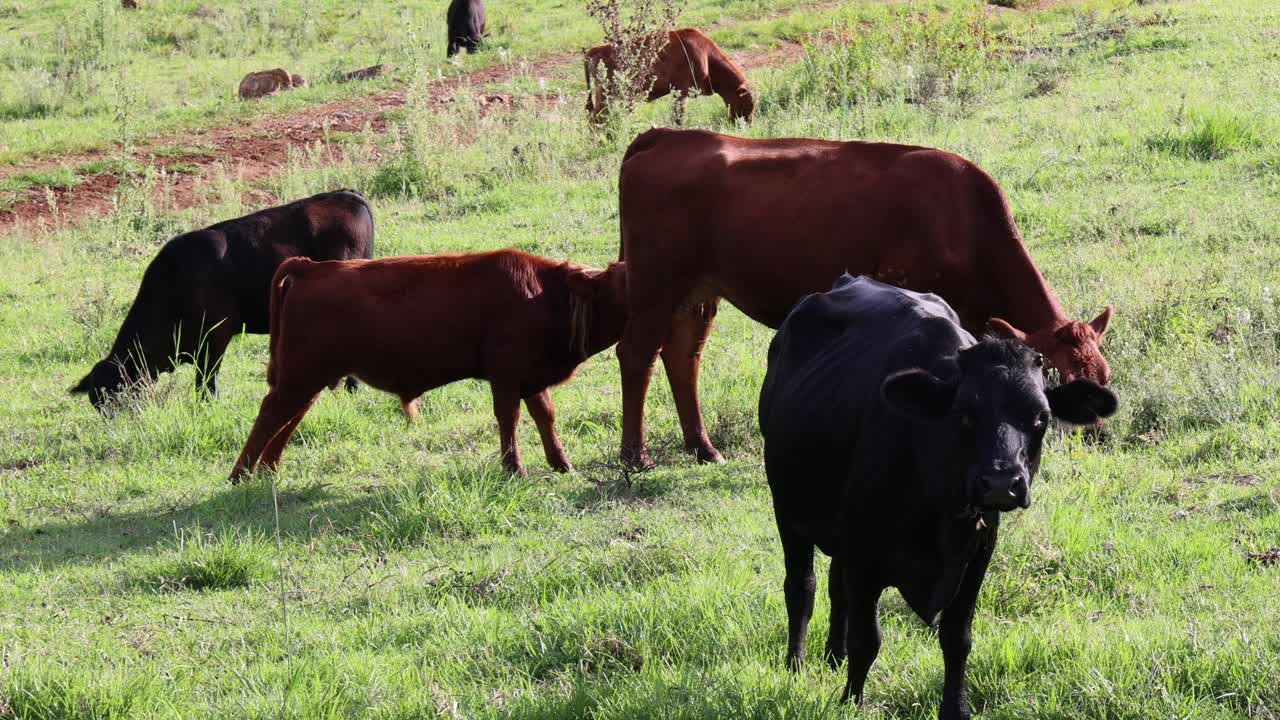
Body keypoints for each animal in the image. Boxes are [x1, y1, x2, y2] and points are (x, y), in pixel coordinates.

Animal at [70, 189, 373, 409]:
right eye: (98, 404)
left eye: (114, 397)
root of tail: (346, 195)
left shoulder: (216, 334)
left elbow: (207, 378)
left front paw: (208, 405)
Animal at [232, 249, 632, 479]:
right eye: (626, 280)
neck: (544, 294)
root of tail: (313, 267)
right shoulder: (506, 376)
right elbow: (510, 418)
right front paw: (514, 468)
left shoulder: (531, 377)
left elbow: (545, 417)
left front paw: (562, 463)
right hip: (300, 375)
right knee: (271, 413)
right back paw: (240, 474)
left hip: (308, 378)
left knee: (288, 417)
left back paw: (267, 470)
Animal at [586, 28, 752, 122]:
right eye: (747, 103)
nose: (746, 124)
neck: (707, 56)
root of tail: (596, 49)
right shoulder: (681, 91)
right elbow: (679, 116)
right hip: (606, 96)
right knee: (597, 118)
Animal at [616, 127, 1111, 466]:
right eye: (1062, 376)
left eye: (1103, 376)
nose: (1099, 434)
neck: (964, 219)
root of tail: (667, 136)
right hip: (654, 283)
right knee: (637, 355)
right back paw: (635, 456)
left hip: (697, 292)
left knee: (683, 359)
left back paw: (703, 448)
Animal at [752, 274, 1116, 717]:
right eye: (964, 413)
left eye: (1041, 418)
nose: (1001, 483)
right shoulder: (864, 554)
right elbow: (867, 639)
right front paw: (852, 702)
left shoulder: (976, 555)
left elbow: (957, 639)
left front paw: (955, 708)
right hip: (788, 509)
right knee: (801, 588)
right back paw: (797, 663)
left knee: (836, 588)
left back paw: (833, 657)